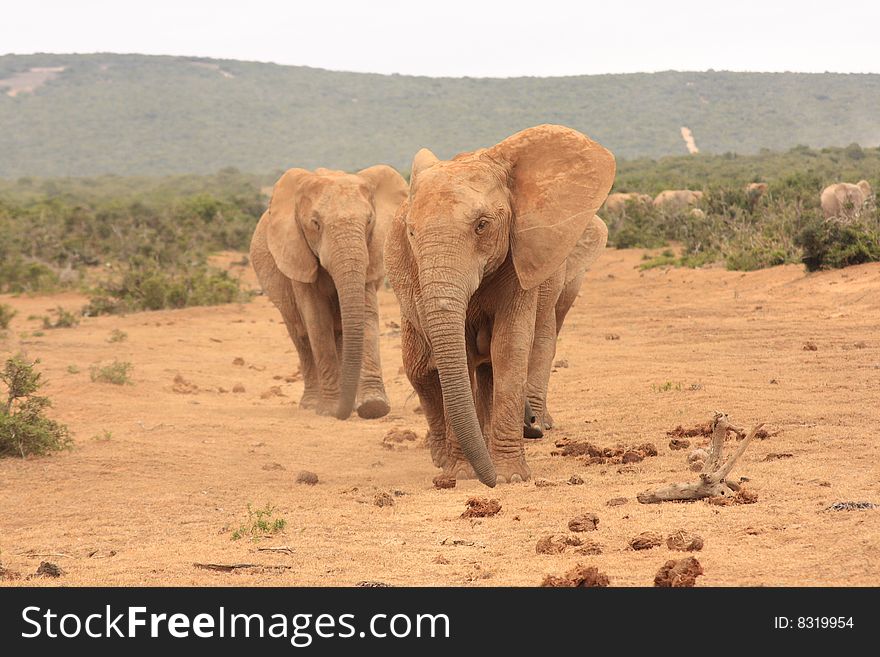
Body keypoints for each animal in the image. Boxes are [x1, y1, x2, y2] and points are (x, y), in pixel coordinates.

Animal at [251, 165, 410, 420]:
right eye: (315, 223)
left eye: (369, 221)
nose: (341, 413)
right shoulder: (298, 254)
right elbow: (317, 320)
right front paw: (328, 410)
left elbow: (366, 315)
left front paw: (373, 408)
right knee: (301, 336)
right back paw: (310, 404)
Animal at [384, 124, 612, 486]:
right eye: (411, 233)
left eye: (482, 225)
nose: (531, 425)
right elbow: (458, 356)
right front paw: (462, 474)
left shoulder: (520, 259)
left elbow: (509, 347)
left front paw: (510, 477)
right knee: (419, 369)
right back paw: (442, 458)